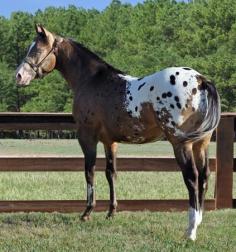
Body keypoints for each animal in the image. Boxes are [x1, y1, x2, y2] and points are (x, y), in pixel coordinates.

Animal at [15, 25, 220, 240]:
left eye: (36, 50)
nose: (19, 76)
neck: (91, 80)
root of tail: (200, 80)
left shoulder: (87, 137)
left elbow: (89, 172)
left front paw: (87, 212)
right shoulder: (109, 141)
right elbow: (110, 173)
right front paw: (111, 212)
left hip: (181, 144)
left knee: (192, 178)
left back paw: (190, 231)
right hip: (201, 144)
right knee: (204, 176)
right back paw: (198, 220)